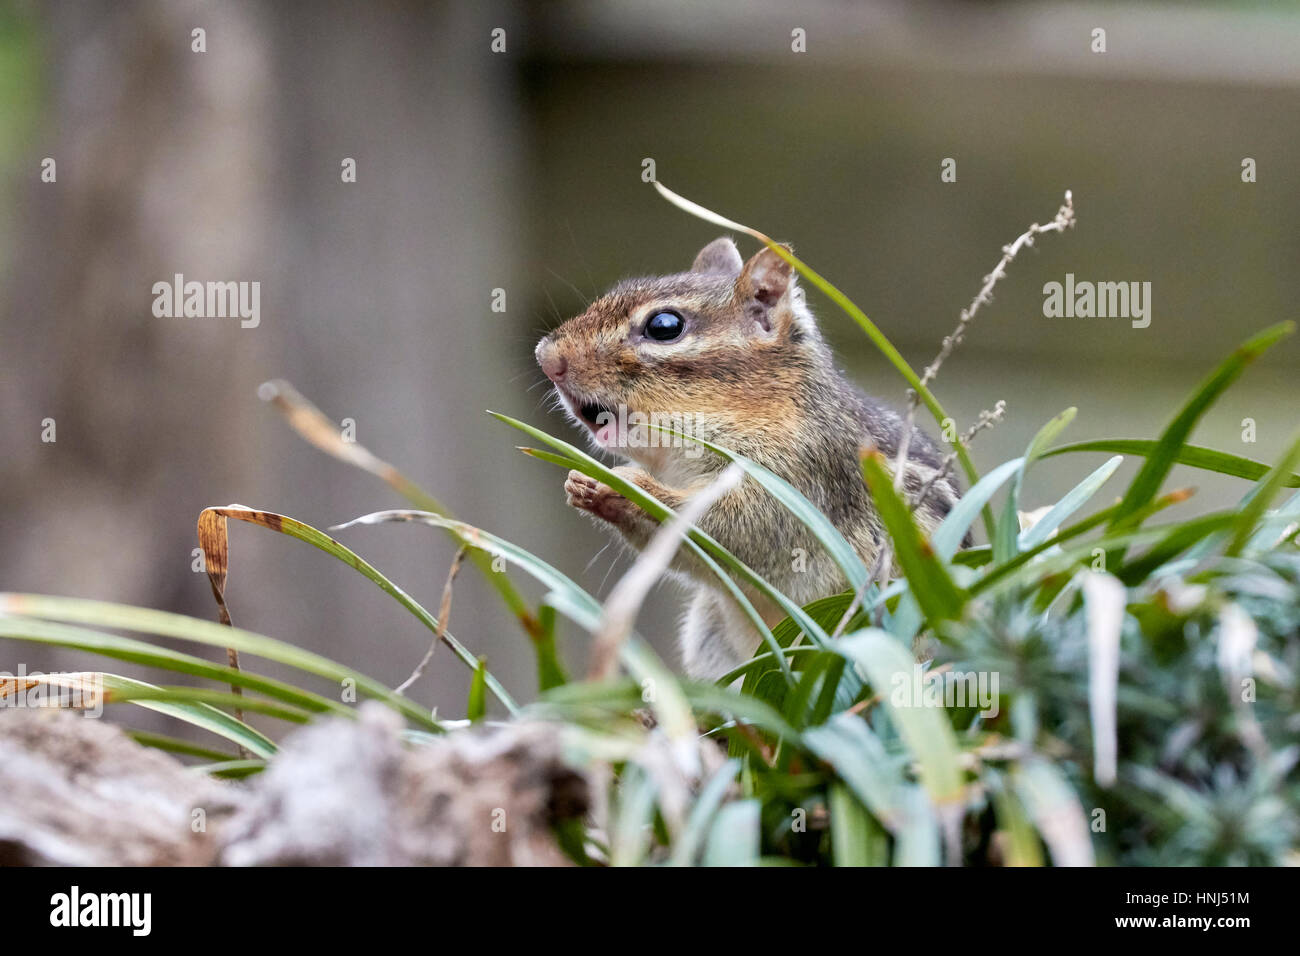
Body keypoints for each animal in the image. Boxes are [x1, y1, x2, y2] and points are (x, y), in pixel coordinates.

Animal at [535, 237, 962, 680]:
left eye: (664, 326)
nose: (546, 358)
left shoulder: (797, 477)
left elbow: (737, 530)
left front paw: (628, 486)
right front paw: (582, 485)